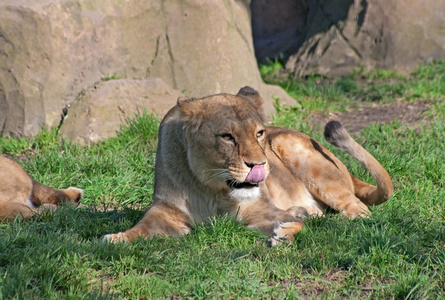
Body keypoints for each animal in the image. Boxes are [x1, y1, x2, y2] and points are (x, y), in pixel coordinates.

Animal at [103, 85, 388, 245]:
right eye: (227, 137)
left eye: (259, 133)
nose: (259, 164)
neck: (209, 187)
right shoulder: (166, 211)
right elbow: (142, 227)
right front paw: (116, 238)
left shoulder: (257, 210)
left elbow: (293, 224)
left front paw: (286, 232)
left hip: (290, 144)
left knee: (360, 208)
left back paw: (340, 217)